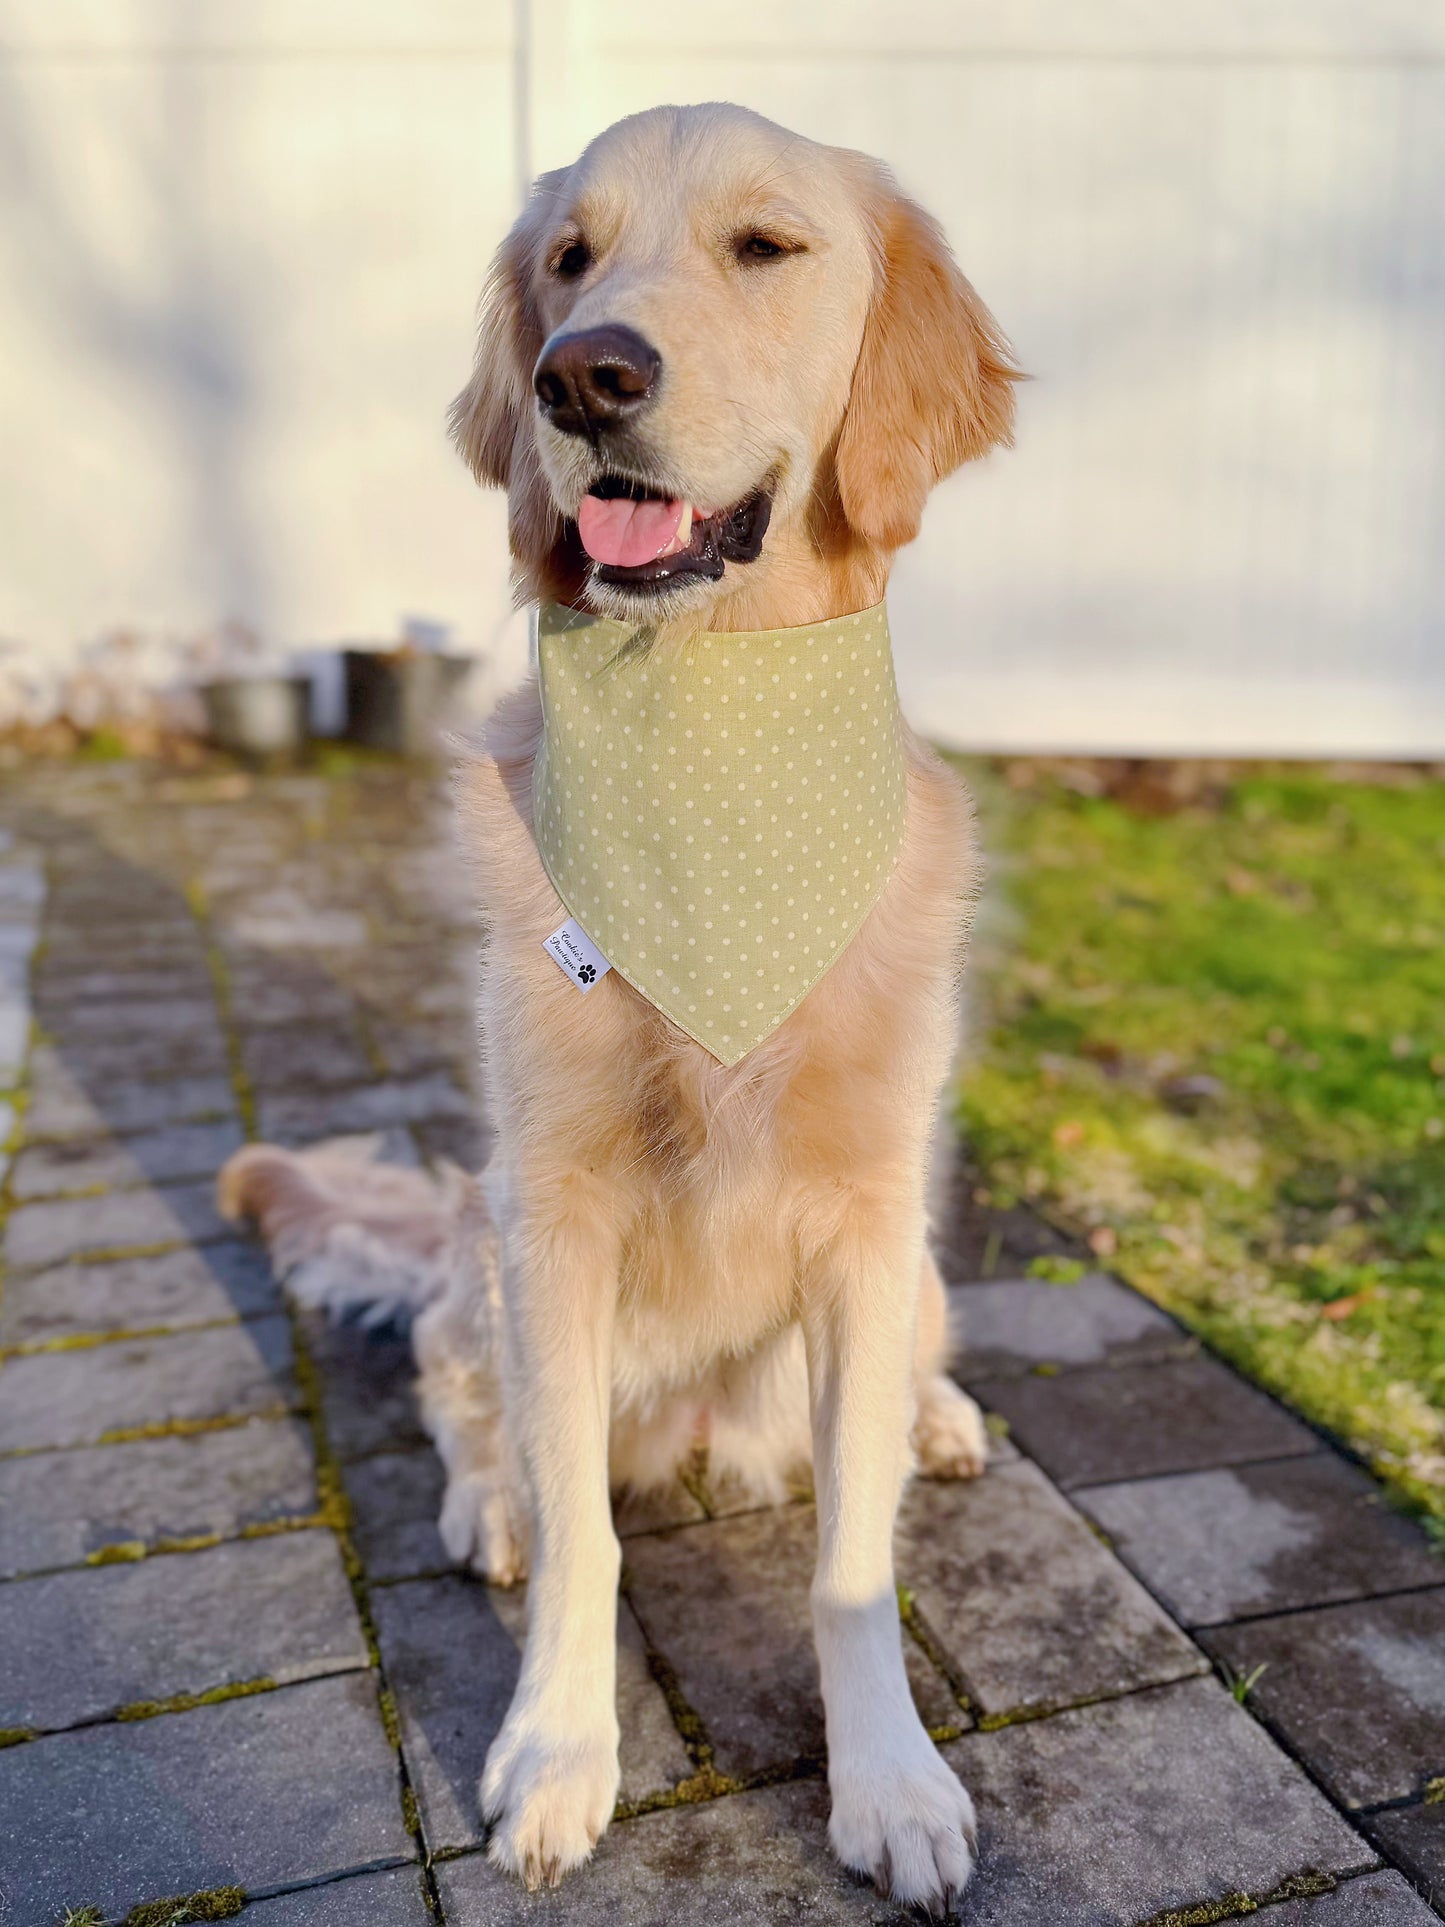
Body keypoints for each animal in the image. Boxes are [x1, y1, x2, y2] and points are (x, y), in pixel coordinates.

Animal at [220, 101, 1024, 1911]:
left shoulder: (871, 1216)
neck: (711, 730)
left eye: (766, 247)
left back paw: (939, 1414)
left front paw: (890, 1778)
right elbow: (586, 1523)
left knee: (900, 1383)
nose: (582, 377)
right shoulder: (554, 1211)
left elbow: (851, 1555)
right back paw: (488, 1511)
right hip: (478, 1239)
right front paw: (558, 1754)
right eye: (567, 259)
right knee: (460, 1398)